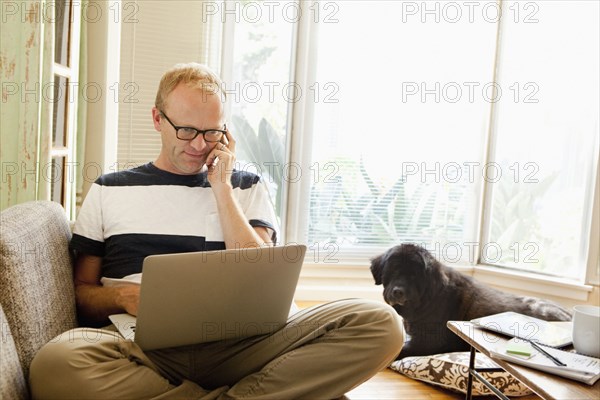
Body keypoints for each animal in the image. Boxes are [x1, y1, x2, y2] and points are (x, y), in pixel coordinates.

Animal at [370, 244, 572, 360]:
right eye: (392, 271)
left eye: (413, 276)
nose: (398, 291)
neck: (428, 297)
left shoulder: (428, 342)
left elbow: (400, 349)